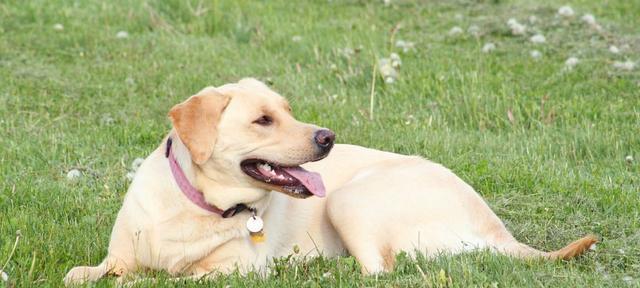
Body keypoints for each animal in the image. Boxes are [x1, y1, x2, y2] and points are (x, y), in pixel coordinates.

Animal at [63, 77, 596, 284]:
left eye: (288, 111)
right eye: (263, 120)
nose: (328, 137)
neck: (197, 206)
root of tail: (494, 225)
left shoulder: (236, 270)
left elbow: (171, 276)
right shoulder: (114, 256)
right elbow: (87, 272)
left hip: (351, 198)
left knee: (378, 269)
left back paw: (319, 270)